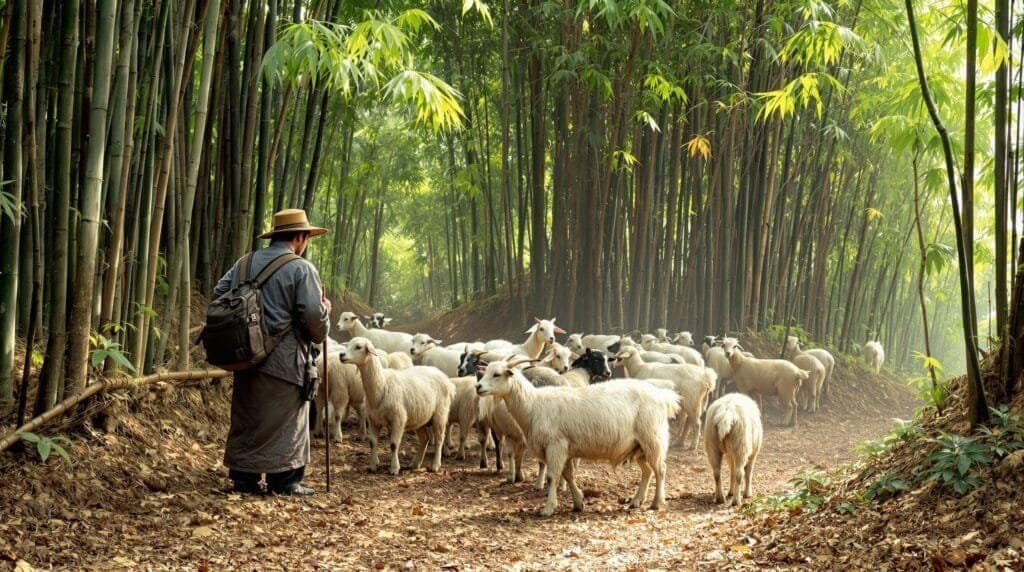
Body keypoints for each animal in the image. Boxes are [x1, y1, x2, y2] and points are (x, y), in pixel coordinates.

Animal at [337, 335, 454, 474]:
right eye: (348, 344)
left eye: (358, 347)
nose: (341, 355)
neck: (382, 386)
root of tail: (444, 376)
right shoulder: (373, 420)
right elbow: (372, 442)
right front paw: (373, 466)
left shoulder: (398, 420)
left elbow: (393, 444)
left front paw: (394, 468)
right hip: (420, 417)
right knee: (424, 439)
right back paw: (415, 463)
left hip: (440, 414)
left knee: (439, 439)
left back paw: (435, 465)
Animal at [475, 358, 684, 515]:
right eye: (486, 372)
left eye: (497, 374)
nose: (478, 386)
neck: (533, 405)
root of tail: (664, 396)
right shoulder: (565, 448)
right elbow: (568, 475)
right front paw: (578, 502)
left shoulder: (556, 445)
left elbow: (552, 477)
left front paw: (548, 508)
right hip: (638, 445)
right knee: (647, 471)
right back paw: (636, 501)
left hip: (653, 438)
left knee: (660, 469)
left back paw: (656, 503)